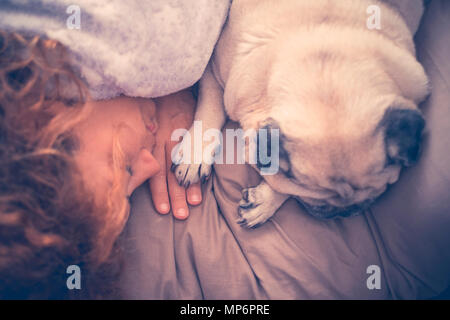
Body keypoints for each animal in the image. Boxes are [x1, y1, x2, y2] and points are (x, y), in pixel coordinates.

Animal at [171, 0, 428, 228]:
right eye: (320, 204)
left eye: (377, 191)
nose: (344, 212)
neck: (325, 61)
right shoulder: (215, 73)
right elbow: (211, 110)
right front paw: (195, 154)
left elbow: (278, 177)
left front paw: (265, 202)